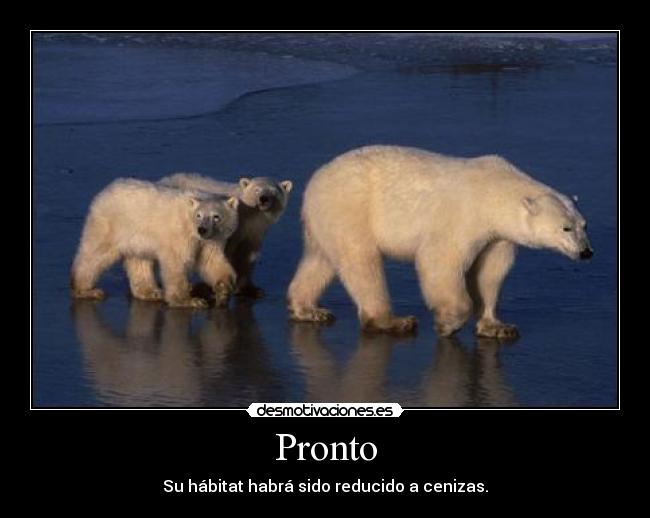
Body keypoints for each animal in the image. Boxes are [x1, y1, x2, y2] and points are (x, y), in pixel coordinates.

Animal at [71, 178, 239, 308]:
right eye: (199, 215)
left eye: (216, 216)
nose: (202, 229)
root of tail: (103, 193)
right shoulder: (180, 234)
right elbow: (177, 263)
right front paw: (189, 301)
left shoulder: (212, 239)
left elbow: (211, 261)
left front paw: (223, 290)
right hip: (111, 226)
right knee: (96, 255)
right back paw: (86, 290)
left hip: (137, 236)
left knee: (140, 261)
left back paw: (152, 292)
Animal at [125, 173, 293, 301]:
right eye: (257, 190)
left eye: (273, 191)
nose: (263, 198)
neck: (249, 215)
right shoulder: (232, 230)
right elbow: (224, 253)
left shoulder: (254, 233)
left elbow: (247, 256)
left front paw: (251, 290)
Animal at [287, 145, 593, 337]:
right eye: (566, 228)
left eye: (583, 225)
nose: (586, 252)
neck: (495, 191)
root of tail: (316, 180)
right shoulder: (464, 215)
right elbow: (441, 260)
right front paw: (448, 323)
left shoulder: (497, 235)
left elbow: (490, 273)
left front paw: (497, 326)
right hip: (351, 209)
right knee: (361, 262)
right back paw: (393, 321)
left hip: (326, 221)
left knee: (321, 260)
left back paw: (307, 308)